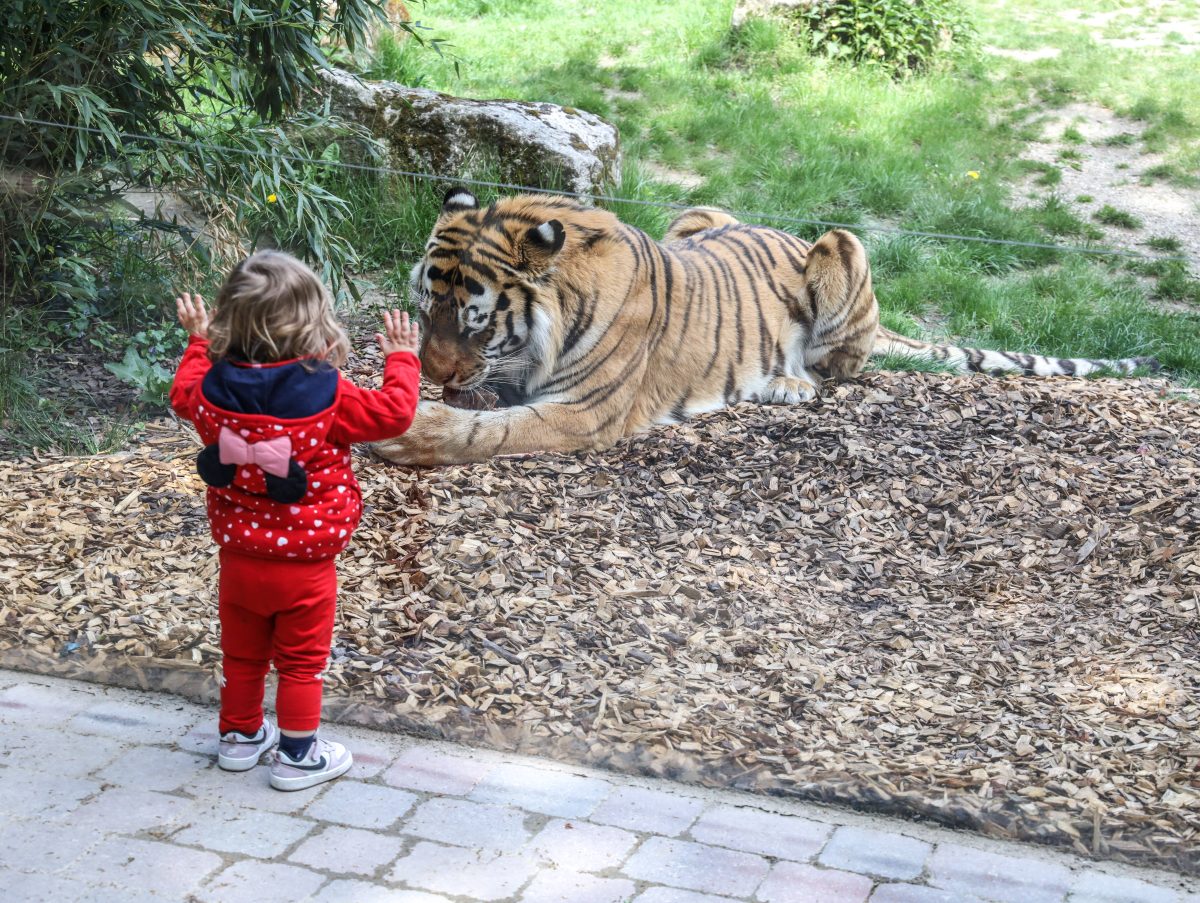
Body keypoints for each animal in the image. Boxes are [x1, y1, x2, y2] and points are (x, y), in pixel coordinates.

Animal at [372, 184, 1152, 465]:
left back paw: (790, 385)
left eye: (474, 321)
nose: (435, 370)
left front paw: (413, 433)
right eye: (424, 309)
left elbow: (487, 431)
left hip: (843, 244)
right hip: (698, 213)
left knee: (843, 370)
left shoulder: (583, 411)